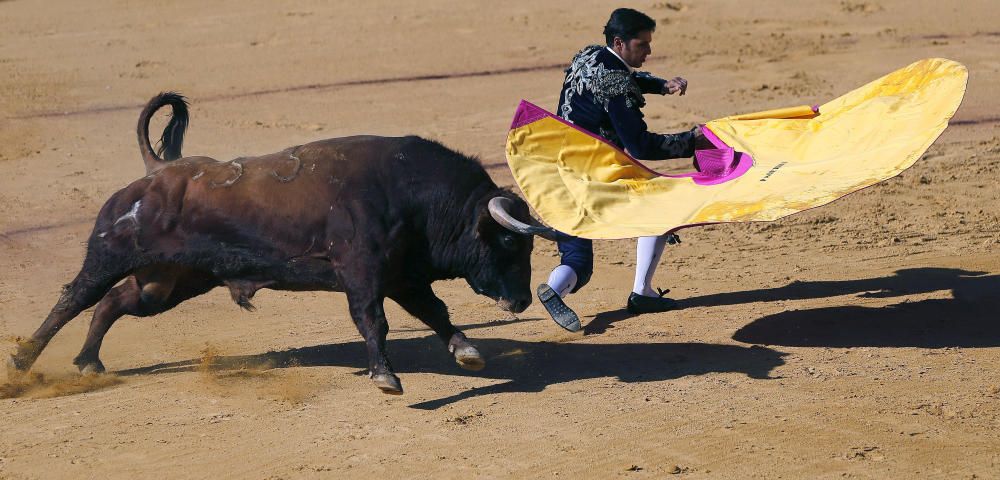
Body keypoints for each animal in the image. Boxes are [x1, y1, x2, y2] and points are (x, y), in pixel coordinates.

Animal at [7, 93, 556, 394]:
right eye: (510, 245)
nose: (522, 301)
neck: (415, 195)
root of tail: (158, 172)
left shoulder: (403, 277)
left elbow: (436, 312)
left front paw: (467, 352)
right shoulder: (363, 274)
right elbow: (372, 321)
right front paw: (385, 377)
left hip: (168, 282)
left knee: (115, 302)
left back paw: (89, 363)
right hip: (110, 253)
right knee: (73, 299)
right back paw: (21, 363)